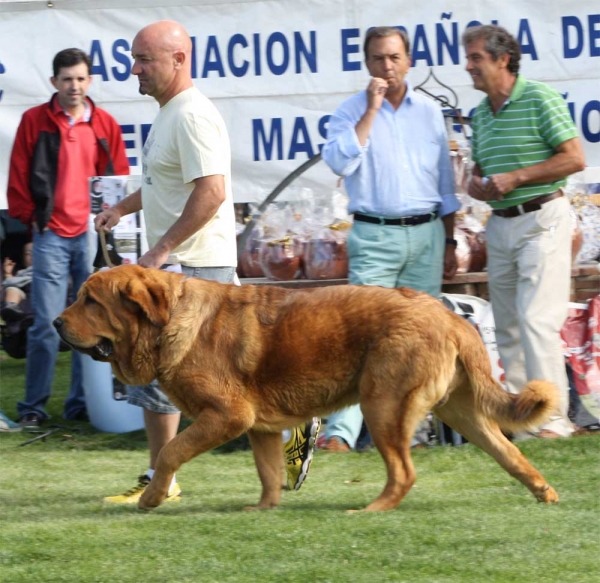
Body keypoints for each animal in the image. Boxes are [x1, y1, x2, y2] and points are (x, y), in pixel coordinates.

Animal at [54, 264, 560, 512]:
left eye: (90, 301)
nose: (56, 323)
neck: (167, 326)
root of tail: (450, 316)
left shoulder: (227, 416)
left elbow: (170, 452)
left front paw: (152, 497)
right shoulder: (258, 427)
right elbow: (268, 472)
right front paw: (264, 510)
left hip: (383, 405)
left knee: (403, 472)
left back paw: (370, 511)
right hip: (462, 412)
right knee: (510, 454)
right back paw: (544, 493)